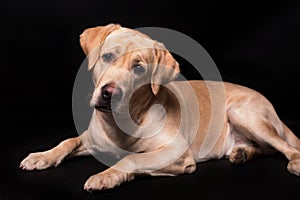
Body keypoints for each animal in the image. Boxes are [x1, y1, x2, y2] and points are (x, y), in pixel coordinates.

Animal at [19, 23, 300, 191]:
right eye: (107, 56)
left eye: (139, 68)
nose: (109, 93)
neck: (123, 122)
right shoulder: (92, 139)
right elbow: (68, 141)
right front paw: (43, 156)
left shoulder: (176, 153)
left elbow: (133, 158)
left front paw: (106, 175)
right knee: (264, 149)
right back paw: (241, 153)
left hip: (241, 113)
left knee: (284, 148)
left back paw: (294, 162)